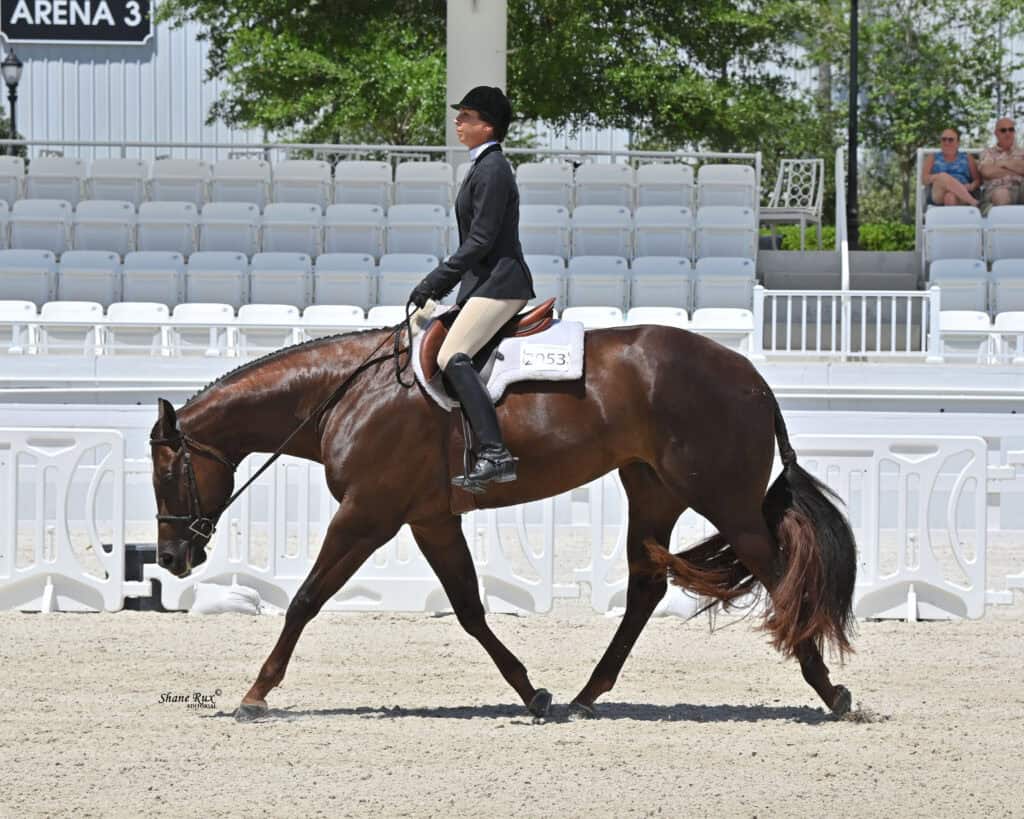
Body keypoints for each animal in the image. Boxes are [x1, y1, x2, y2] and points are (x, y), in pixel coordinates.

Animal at [149, 321, 857, 721]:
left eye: (165, 472)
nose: (172, 559)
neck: (345, 395)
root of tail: (751, 375)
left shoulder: (366, 516)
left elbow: (303, 600)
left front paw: (256, 694)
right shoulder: (430, 521)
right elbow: (469, 610)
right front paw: (531, 693)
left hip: (723, 499)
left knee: (780, 575)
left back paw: (830, 692)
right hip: (652, 489)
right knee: (646, 587)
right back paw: (585, 695)